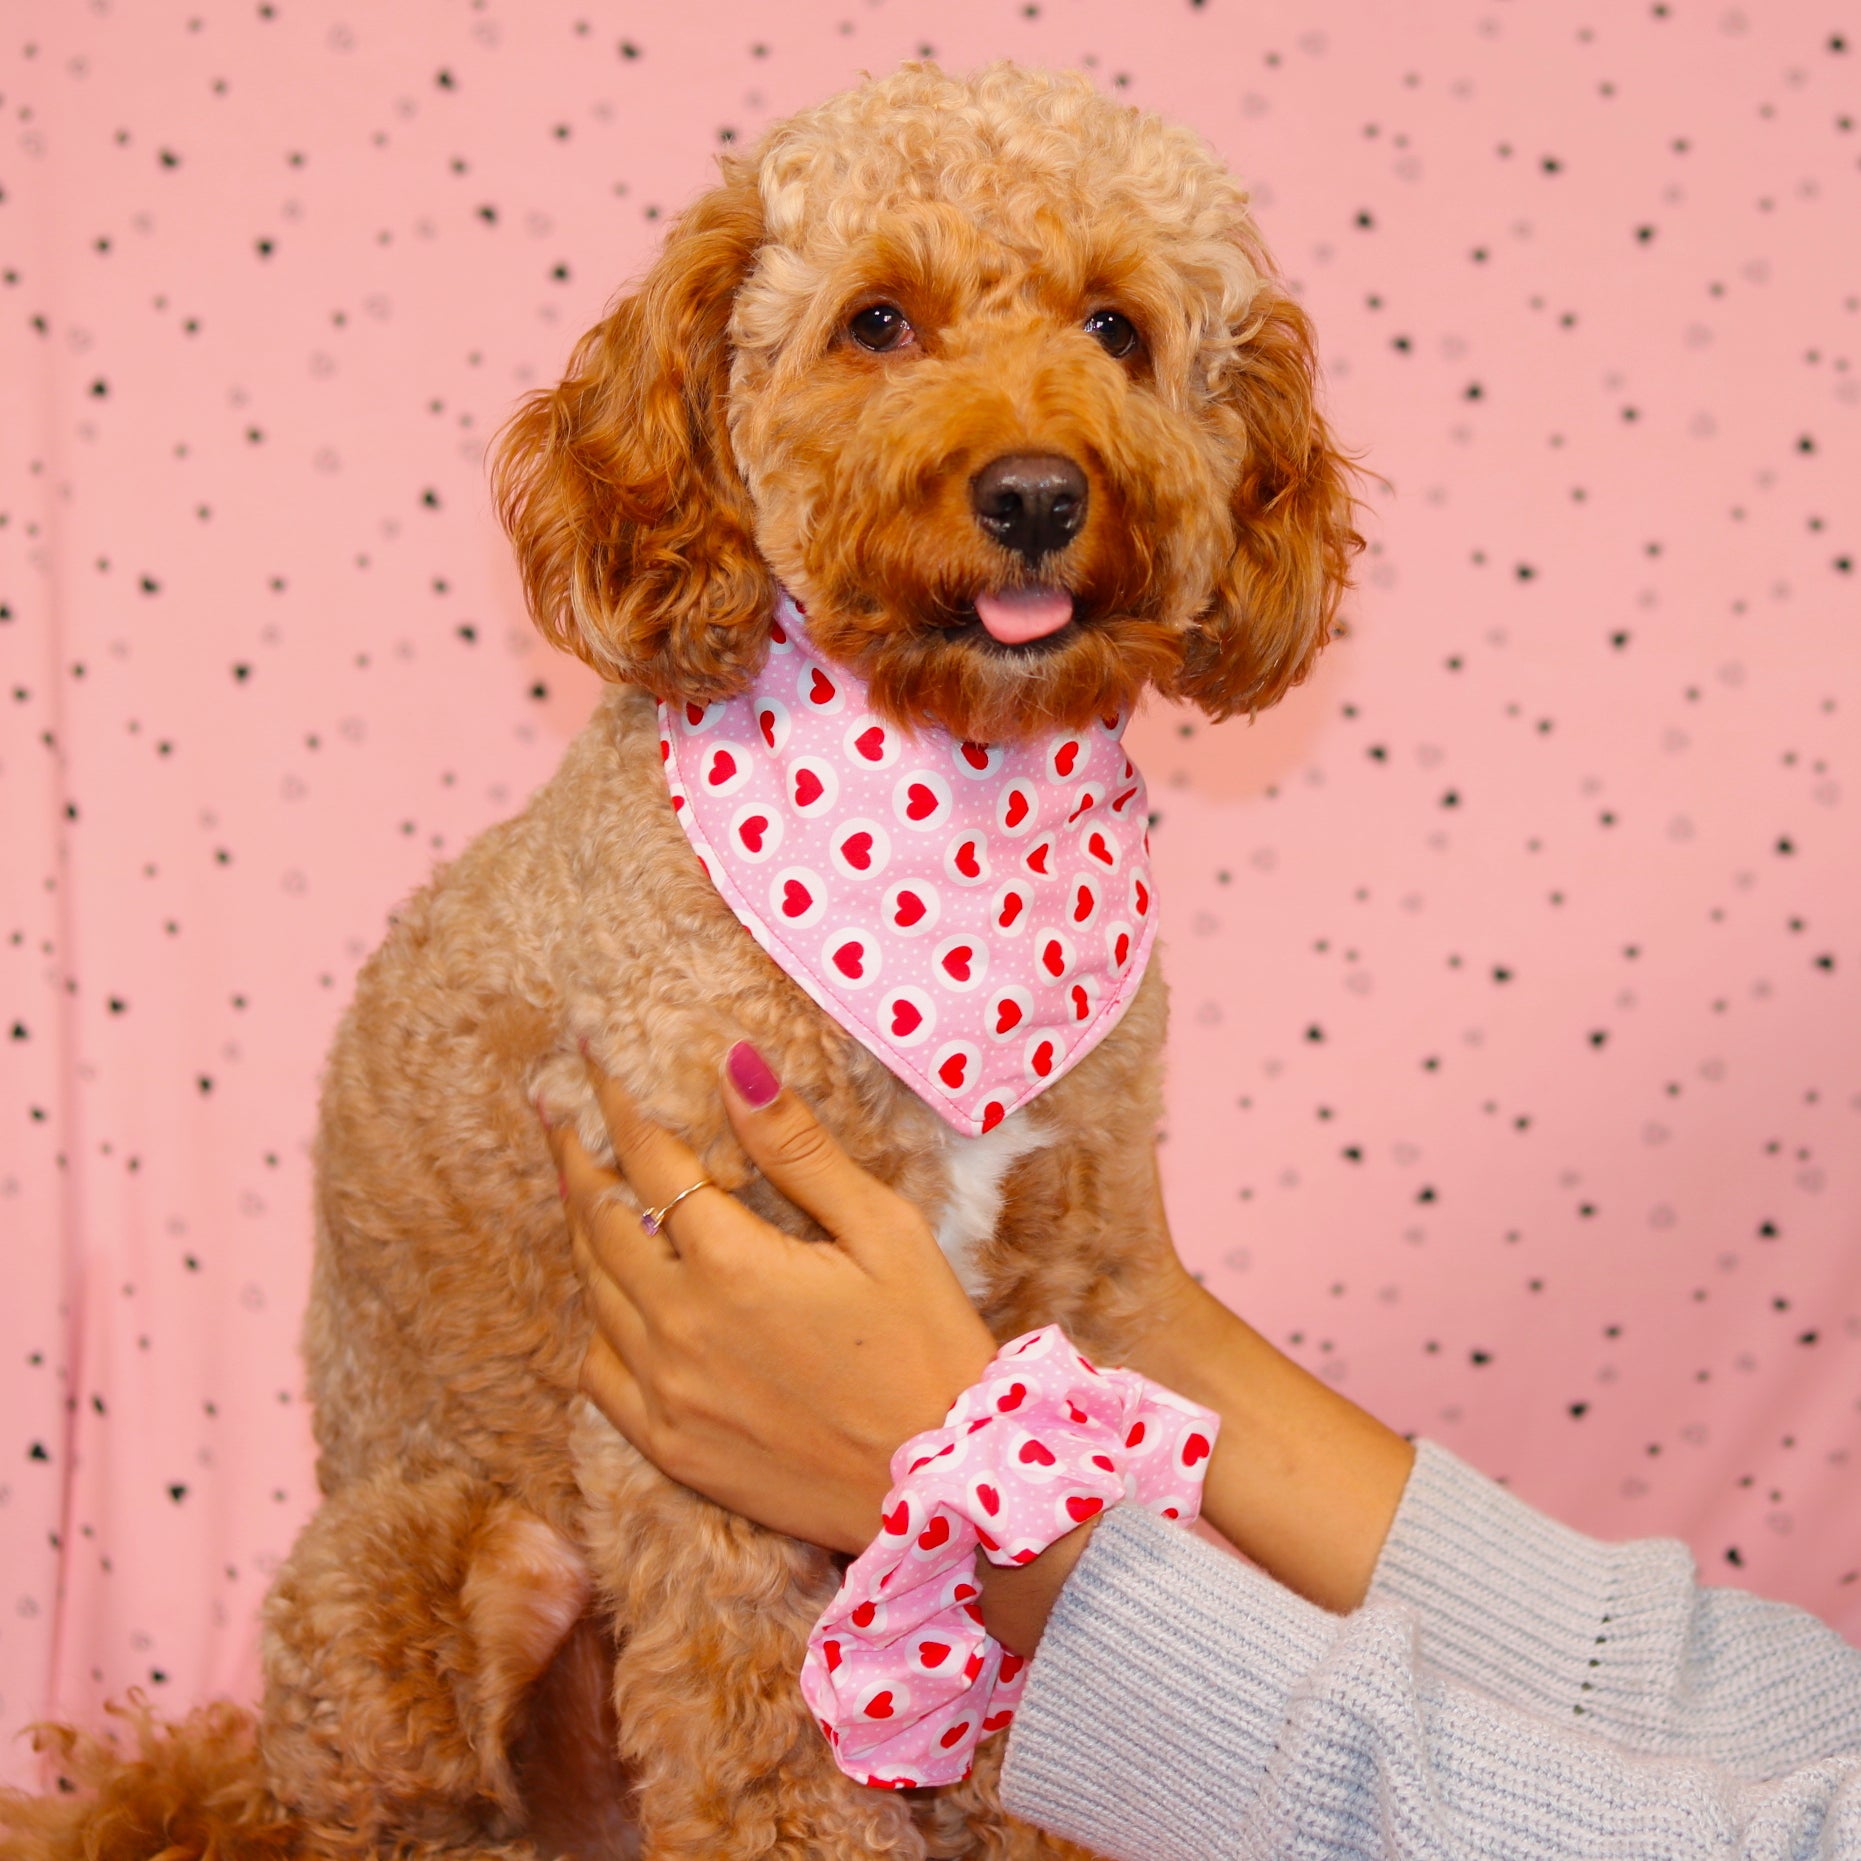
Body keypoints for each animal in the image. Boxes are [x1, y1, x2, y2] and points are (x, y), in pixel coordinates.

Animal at [7, 58, 1362, 1861]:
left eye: (1115, 328)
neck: (957, 799)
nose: (1033, 494)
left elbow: (1012, 1639)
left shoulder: (1060, 1286)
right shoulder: (687, 1339)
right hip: (404, 1574)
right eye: (877, 321)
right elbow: (748, 1693)